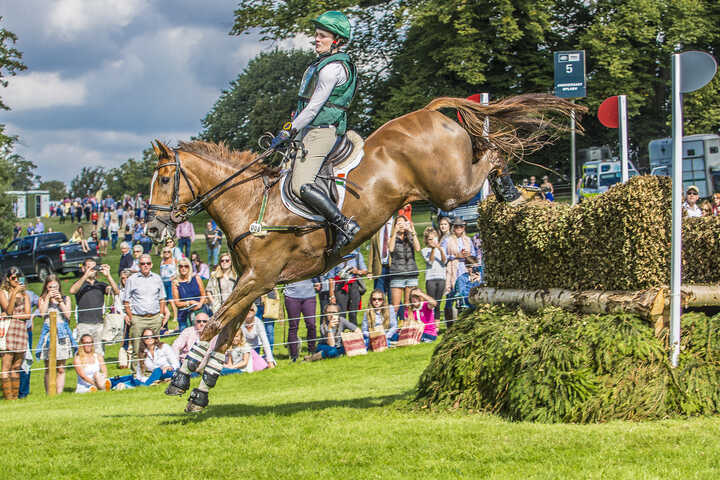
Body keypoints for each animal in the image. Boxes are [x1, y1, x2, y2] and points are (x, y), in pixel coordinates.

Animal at [146, 94, 580, 412]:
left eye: (165, 179)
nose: (151, 229)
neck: (250, 203)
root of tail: (428, 110)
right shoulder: (251, 283)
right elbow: (225, 330)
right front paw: (197, 389)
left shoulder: (258, 278)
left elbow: (212, 325)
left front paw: (183, 374)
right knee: (489, 151)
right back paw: (515, 194)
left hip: (450, 189)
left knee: (492, 153)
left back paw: (517, 193)